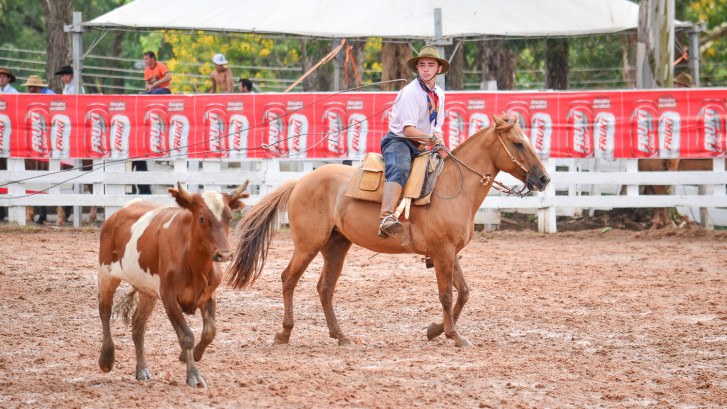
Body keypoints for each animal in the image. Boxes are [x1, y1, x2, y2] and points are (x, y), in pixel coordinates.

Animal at [98, 181, 249, 386]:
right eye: (202, 218)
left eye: (229, 217)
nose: (224, 254)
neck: (194, 264)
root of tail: (117, 214)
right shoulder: (169, 297)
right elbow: (186, 336)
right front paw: (193, 374)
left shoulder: (209, 295)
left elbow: (210, 332)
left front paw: (191, 356)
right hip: (106, 272)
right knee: (104, 311)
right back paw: (106, 357)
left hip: (147, 290)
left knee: (138, 326)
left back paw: (142, 369)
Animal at [230, 113, 548, 346]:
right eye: (518, 143)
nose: (543, 179)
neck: (452, 187)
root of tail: (300, 182)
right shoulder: (443, 252)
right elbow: (446, 294)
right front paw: (454, 335)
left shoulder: (450, 252)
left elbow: (464, 293)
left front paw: (435, 330)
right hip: (308, 244)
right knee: (288, 279)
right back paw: (284, 333)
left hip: (336, 246)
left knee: (325, 288)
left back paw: (341, 336)